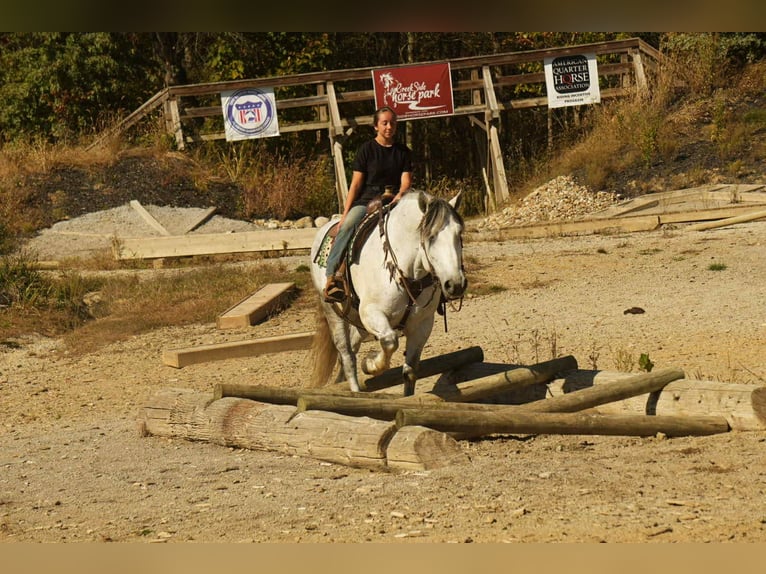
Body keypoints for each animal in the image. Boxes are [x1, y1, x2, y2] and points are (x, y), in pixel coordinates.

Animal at [307, 189, 467, 396]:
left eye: (459, 233)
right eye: (431, 237)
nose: (456, 284)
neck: (407, 271)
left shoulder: (422, 325)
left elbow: (410, 372)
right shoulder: (372, 314)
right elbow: (390, 341)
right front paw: (370, 365)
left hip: (357, 321)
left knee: (352, 346)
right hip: (334, 312)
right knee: (347, 355)